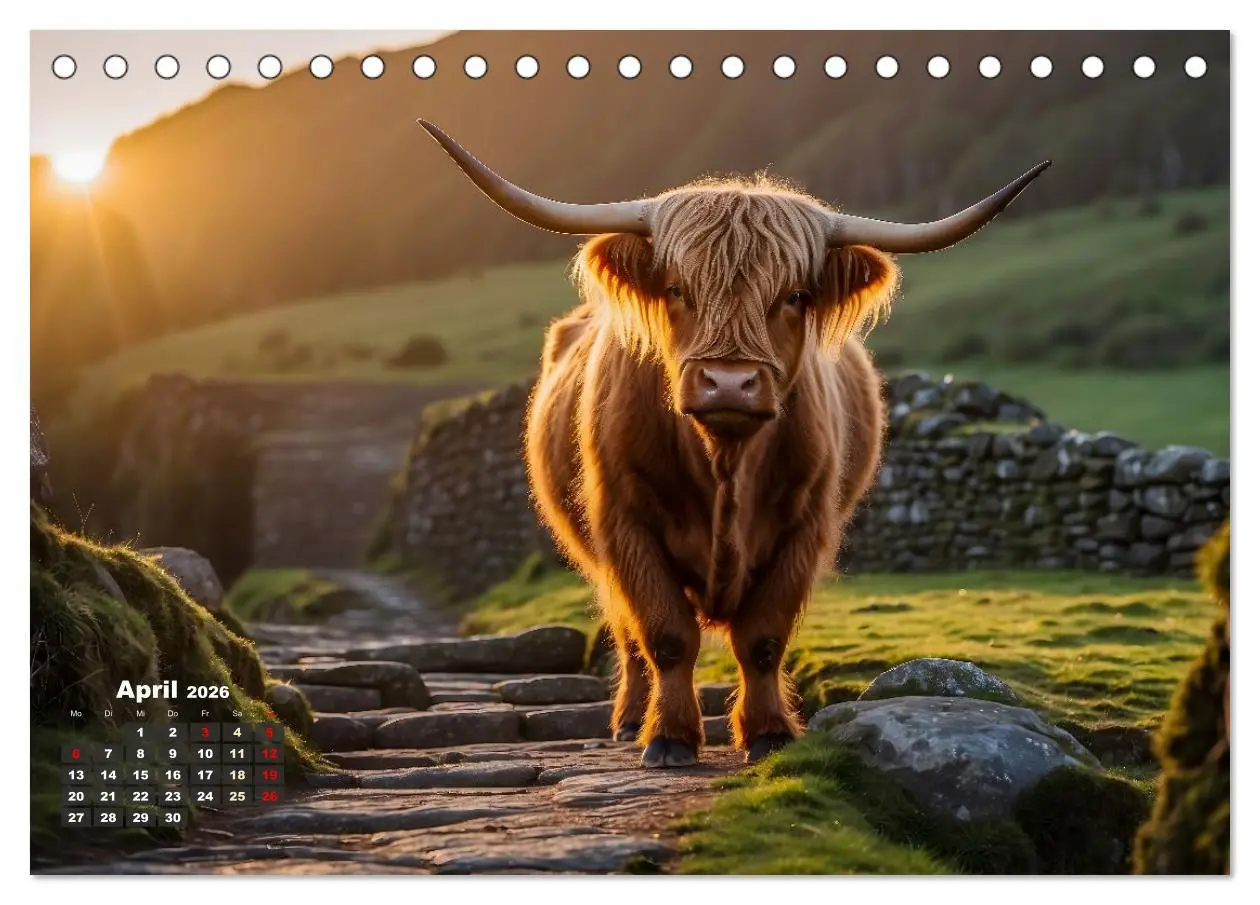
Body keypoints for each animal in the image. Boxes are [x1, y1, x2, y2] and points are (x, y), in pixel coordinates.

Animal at [418, 120, 1050, 768]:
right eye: (676, 288)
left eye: (794, 295)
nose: (728, 383)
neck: (725, 462)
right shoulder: (626, 524)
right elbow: (666, 636)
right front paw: (669, 737)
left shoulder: (804, 526)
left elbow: (763, 639)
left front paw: (768, 731)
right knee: (628, 635)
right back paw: (630, 719)